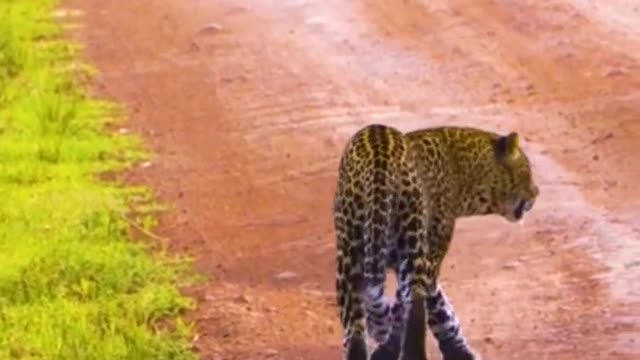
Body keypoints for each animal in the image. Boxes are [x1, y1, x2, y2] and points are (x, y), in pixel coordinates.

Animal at [332, 124, 536, 360]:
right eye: (527, 171)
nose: (537, 192)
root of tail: (379, 164)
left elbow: (437, 305)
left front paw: (458, 349)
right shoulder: (430, 256)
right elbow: (429, 306)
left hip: (352, 254)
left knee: (355, 327)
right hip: (408, 244)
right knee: (413, 303)